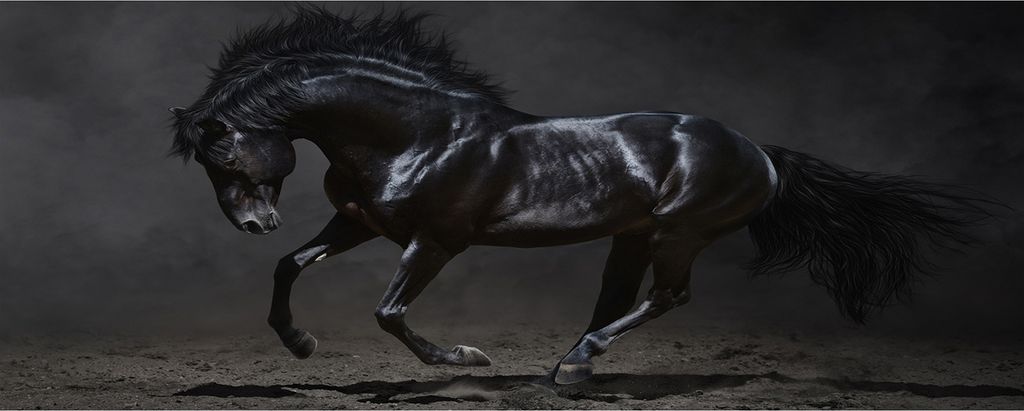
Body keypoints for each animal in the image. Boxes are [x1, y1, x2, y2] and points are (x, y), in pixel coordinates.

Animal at [168, 7, 992, 385]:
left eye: (226, 151)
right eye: (208, 164)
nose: (253, 221)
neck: (417, 132)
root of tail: (761, 153)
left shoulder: (436, 241)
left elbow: (390, 312)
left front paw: (463, 358)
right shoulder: (358, 222)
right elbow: (290, 266)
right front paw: (300, 342)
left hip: (679, 233)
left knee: (668, 297)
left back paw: (575, 364)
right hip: (632, 236)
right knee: (622, 298)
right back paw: (568, 367)